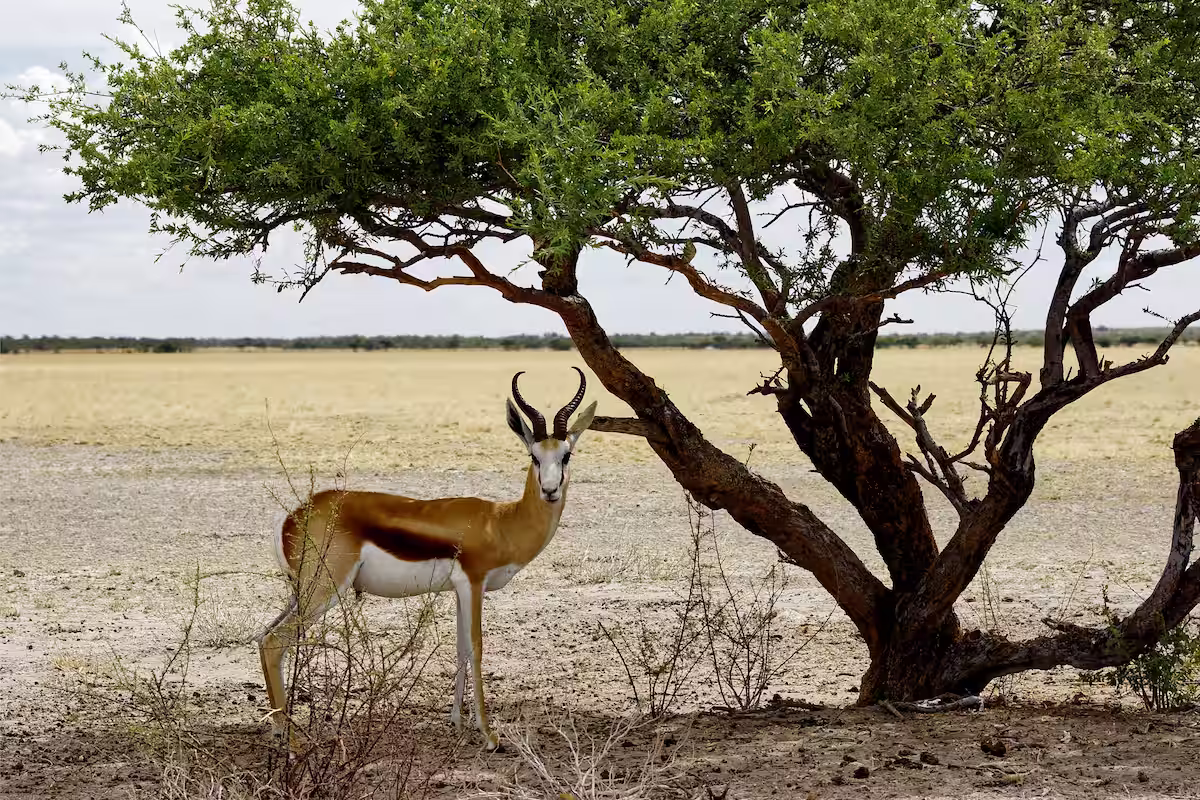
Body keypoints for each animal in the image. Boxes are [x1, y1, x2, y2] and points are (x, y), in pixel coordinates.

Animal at [257, 368, 596, 750]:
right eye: (534, 456)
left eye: (566, 455)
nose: (550, 491)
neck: (501, 521)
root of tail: (291, 517)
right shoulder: (473, 584)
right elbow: (477, 647)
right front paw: (489, 734)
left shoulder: (459, 590)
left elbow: (461, 648)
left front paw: (458, 722)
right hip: (323, 591)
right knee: (274, 641)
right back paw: (293, 741)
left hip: (301, 592)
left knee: (263, 636)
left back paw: (277, 729)